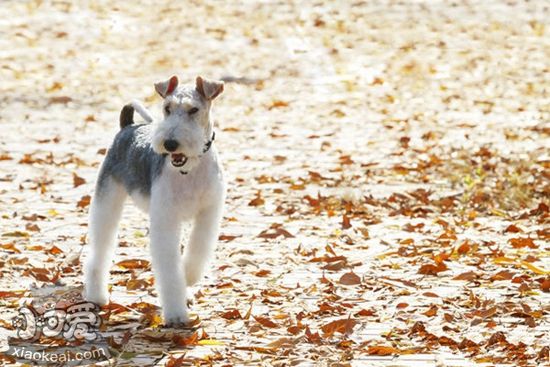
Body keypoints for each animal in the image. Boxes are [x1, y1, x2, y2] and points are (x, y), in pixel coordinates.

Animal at [84, 76, 226, 326]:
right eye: (167, 108)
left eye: (193, 109)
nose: (170, 144)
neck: (189, 169)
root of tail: (128, 127)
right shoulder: (166, 219)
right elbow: (170, 270)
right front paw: (177, 315)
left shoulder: (208, 213)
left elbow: (197, 251)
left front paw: (187, 276)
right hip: (106, 202)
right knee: (99, 253)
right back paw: (96, 296)